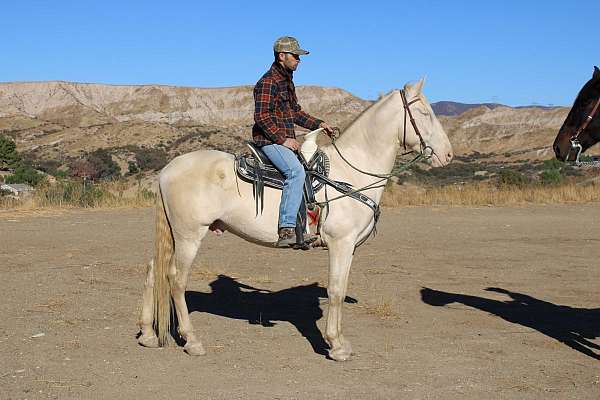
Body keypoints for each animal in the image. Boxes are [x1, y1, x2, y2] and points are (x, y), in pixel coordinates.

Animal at [138, 79, 452, 360]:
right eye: (424, 112)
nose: (448, 154)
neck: (351, 173)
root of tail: (168, 169)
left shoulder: (349, 247)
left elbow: (341, 288)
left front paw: (341, 342)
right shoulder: (340, 243)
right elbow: (336, 290)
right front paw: (335, 345)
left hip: (174, 235)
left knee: (154, 269)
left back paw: (148, 334)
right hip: (190, 235)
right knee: (176, 279)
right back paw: (192, 341)